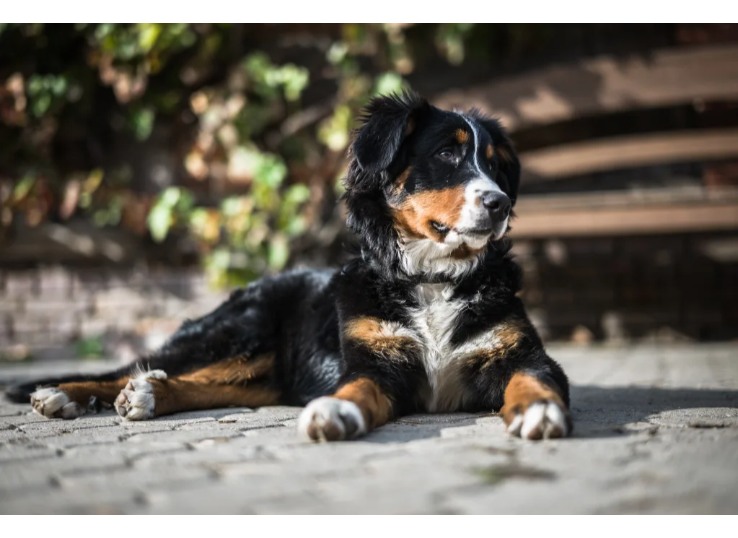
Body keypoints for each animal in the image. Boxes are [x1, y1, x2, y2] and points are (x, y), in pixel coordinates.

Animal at [4, 92, 568, 440]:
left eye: (494, 164)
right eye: (448, 155)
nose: (498, 203)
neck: (432, 280)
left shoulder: (522, 354)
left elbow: (533, 379)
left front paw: (538, 410)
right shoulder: (375, 364)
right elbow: (356, 388)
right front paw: (336, 411)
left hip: (262, 368)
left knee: (204, 384)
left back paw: (148, 395)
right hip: (239, 332)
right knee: (134, 367)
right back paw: (63, 394)